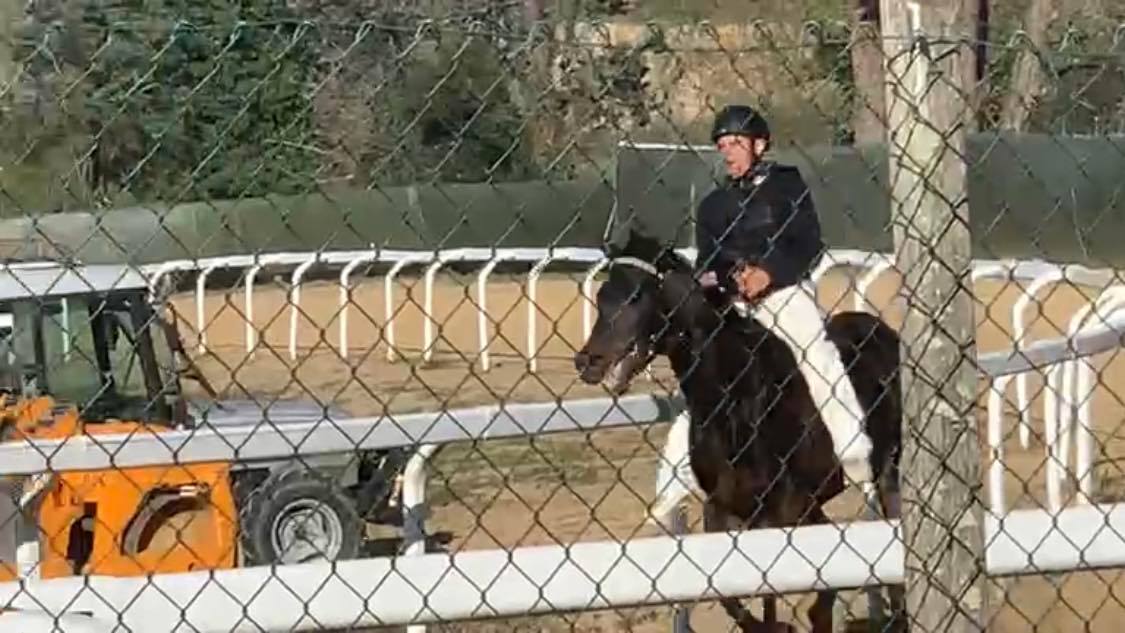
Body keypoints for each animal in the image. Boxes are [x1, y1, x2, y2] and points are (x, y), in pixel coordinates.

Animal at [576, 232, 900, 633]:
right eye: (602, 295)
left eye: (636, 295)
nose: (587, 362)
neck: (738, 399)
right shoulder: (725, 506)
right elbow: (729, 592)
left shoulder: (779, 508)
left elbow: (769, 590)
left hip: (885, 471)